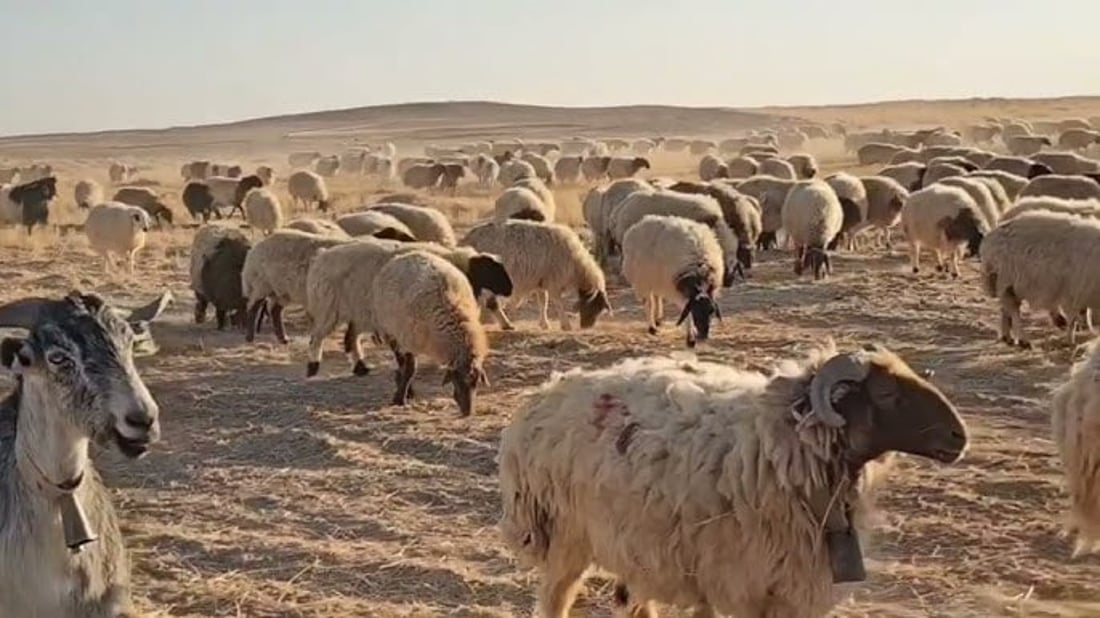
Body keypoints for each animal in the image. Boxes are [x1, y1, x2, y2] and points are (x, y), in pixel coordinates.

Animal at [369, 250, 490, 413]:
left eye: (476, 382)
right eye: (456, 379)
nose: (468, 412)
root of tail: (405, 255)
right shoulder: (409, 339)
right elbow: (410, 369)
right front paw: (399, 399)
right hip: (391, 331)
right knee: (401, 361)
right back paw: (406, 389)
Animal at [462, 218, 616, 329]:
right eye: (595, 307)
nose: (586, 327)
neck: (576, 265)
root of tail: (467, 238)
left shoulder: (541, 281)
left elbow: (543, 302)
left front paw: (544, 324)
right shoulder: (554, 282)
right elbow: (557, 302)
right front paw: (565, 324)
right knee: (490, 302)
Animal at [503, 338, 968, 615]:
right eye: (887, 393)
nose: (959, 436)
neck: (779, 446)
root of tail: (545, 393)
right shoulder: (744, 584)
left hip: (634, 545)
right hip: (568, 537)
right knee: (556, 598)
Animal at [624, 214, 726, 343]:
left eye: (711, 310)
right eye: (694, 310)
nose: (703, 336)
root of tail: (642, 221)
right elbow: (686, 313)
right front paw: (690, 338)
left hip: (657, 278)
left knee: (657, 296)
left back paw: (658, 319)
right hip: (643, 280)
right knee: (649, 303)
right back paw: (652, 327)